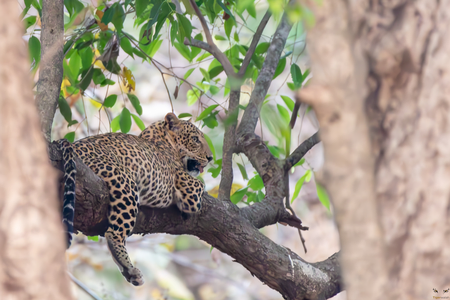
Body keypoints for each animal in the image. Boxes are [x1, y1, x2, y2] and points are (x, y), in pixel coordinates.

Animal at [57, 113, 213, 286]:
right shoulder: (189, 187)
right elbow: (199, 187)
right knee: (113, 233)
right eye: (195, 139)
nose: (211, 158)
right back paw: (130, 269)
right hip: (125, 183)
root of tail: (74, 145)